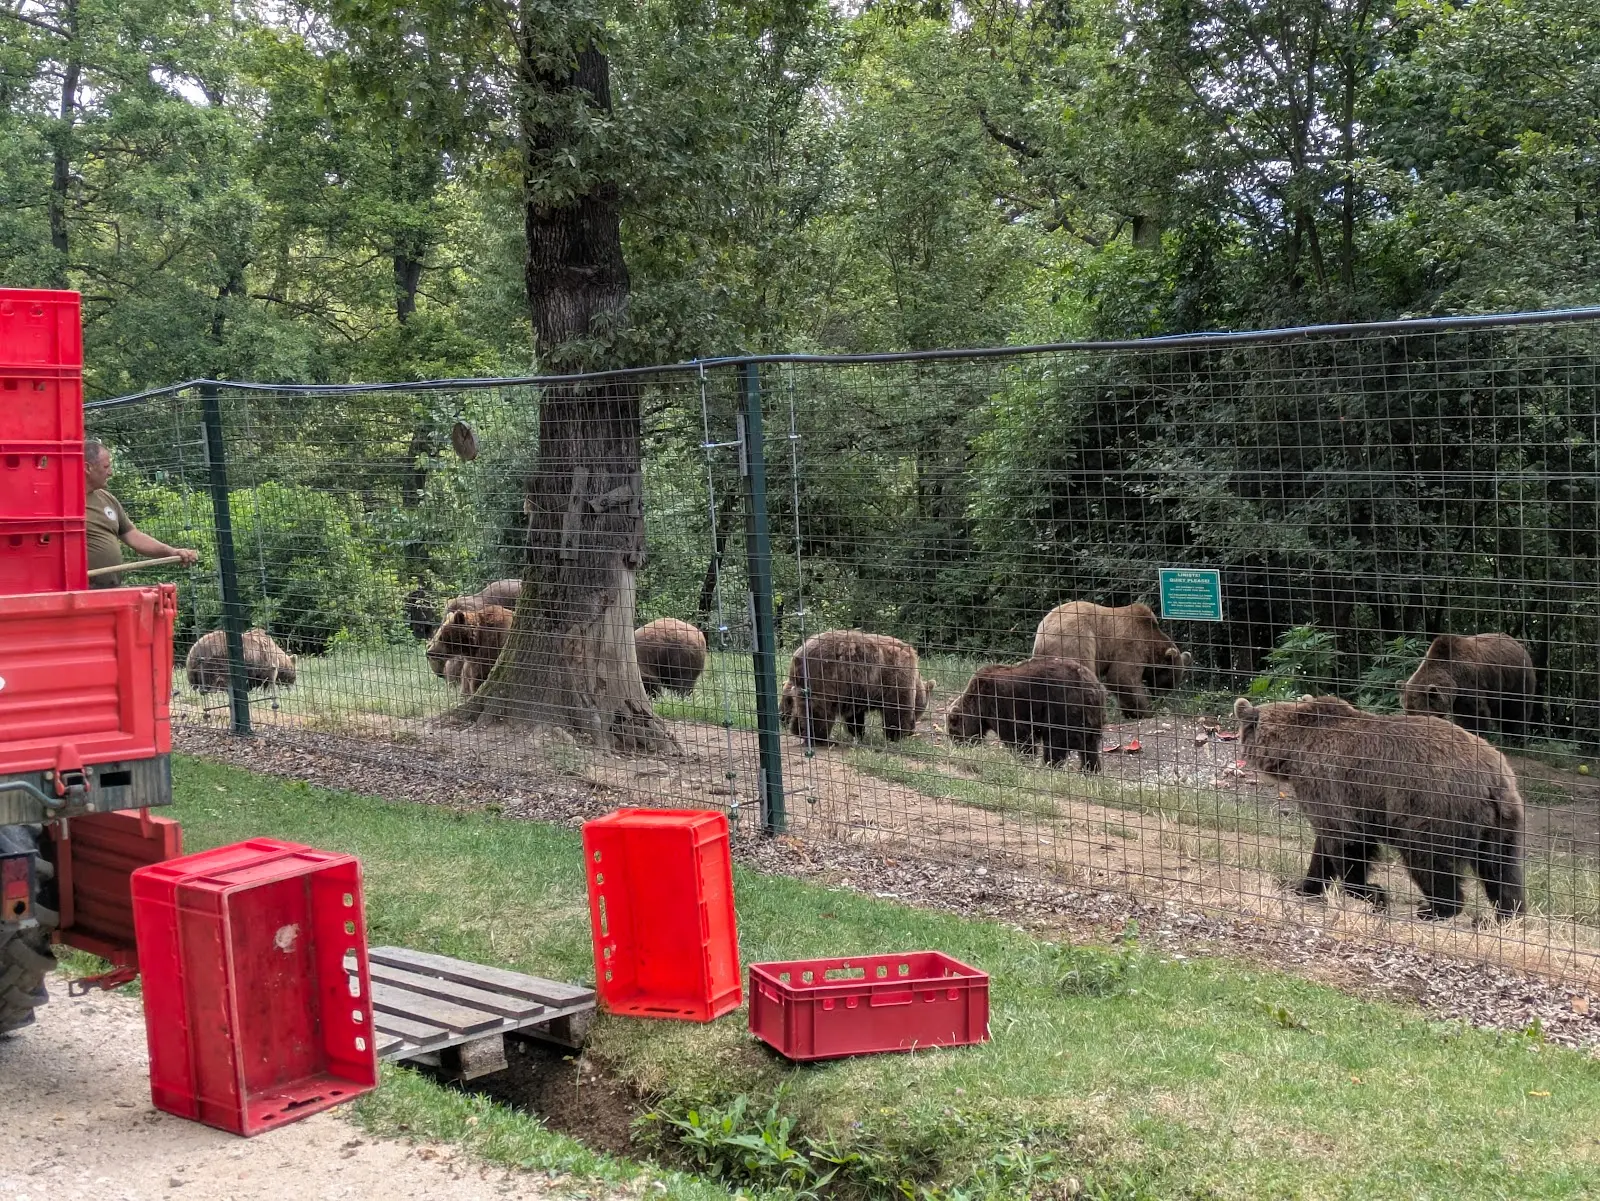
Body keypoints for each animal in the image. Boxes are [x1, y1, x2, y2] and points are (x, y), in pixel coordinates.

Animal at [780, 630, 934, 747]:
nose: (913, 729)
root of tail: (798, 654)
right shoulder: (896, 677)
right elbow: (896, 710)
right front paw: (897, 735)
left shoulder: (856, 692)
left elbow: (855, 716)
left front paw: (859, 734)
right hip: (824, 678)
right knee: (820, 710)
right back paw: (823, 739)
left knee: (800, 706)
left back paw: (798, 730)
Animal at [946, 656, 1107, 771]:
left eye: (953, 732)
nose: (958, 747)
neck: (979, 705)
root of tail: (1093, 685)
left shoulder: (1001, 702)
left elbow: (1018, 735)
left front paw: (1023, 758)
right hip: (1090, 716)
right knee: (1089, 746)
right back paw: (1089, 770)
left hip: (1064, 706)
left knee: (1057, 741)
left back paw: (1048, 766)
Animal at [1032, 601, 1191, 719]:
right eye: (1168, 682)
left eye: (1172, 684)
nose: (1160, 699)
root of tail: (1044, 633)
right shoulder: (1131, 646)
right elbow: (1122, 677)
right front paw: (1146, 711)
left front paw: (1130, 712)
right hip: (1077, 640)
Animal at [1233, 695, 1525, 921]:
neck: (1293, 750)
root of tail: (1492, 776)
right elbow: (1323, 847)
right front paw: (1306, 885)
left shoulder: (1329, 784)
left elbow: (1346, 840)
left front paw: (1371, 892)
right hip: (1500, 820)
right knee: (1501, 867)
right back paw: (1506, 914)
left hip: (1433, 806)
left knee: (1426, 857)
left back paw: (1435, 908)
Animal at [1399, 632, 1537, 745]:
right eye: (1407, 711)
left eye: (1420, 714)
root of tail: (1518, 644)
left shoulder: (1469, 683)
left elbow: (1473, 713)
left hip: (1516, 680)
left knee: (1516, 710)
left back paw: (1515, 739)